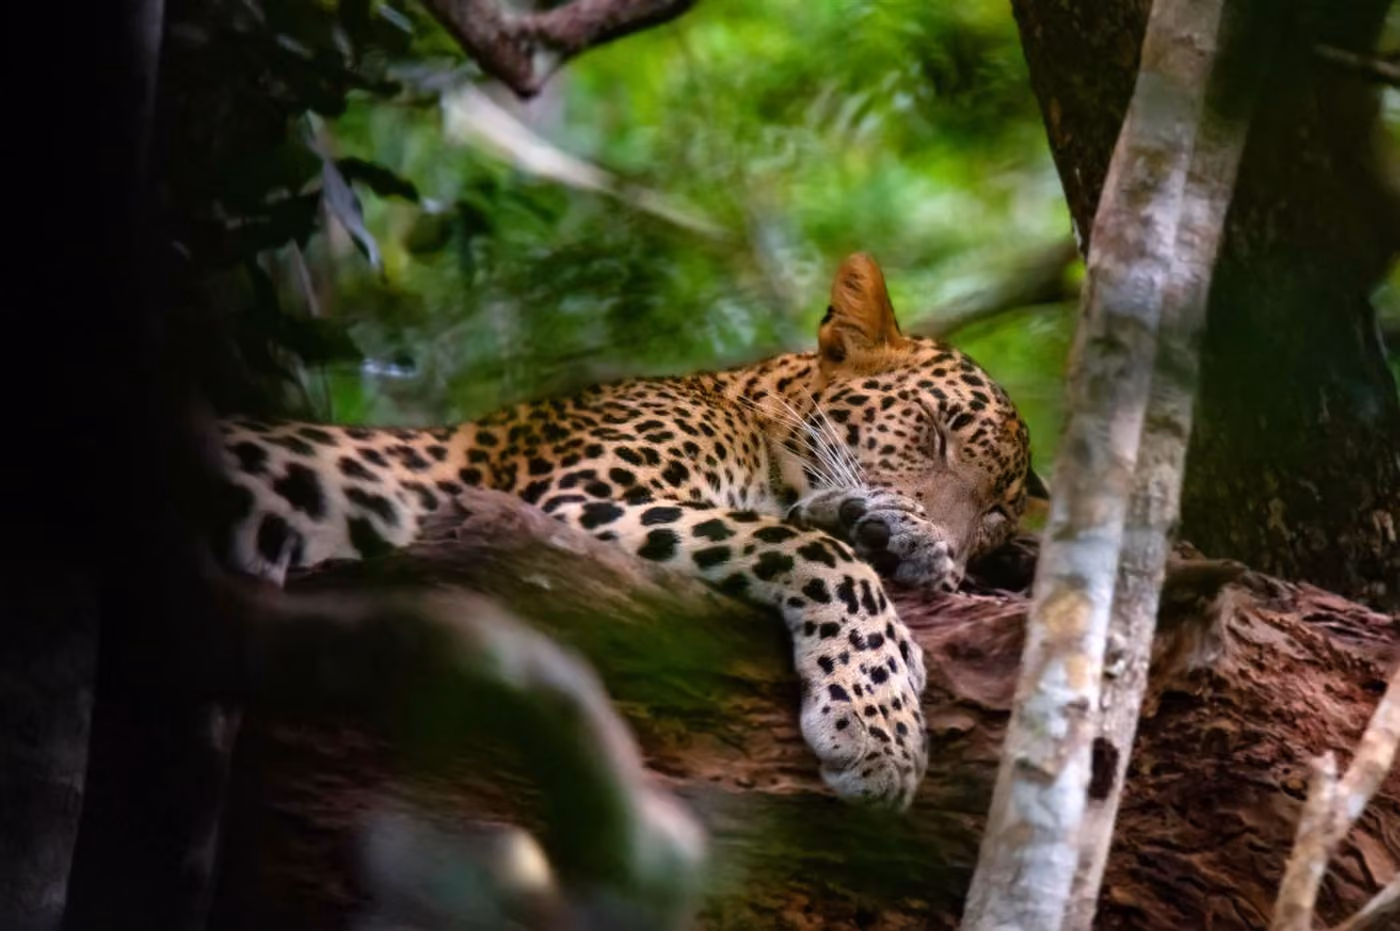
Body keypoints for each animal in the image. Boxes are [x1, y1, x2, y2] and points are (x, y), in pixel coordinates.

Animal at [217, 253, 1041, 810]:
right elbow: (810, 549)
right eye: (935, 430)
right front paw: (878, 719)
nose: (953, 549)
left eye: (998, 512)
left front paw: (898, 537)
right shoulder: (574, 503)